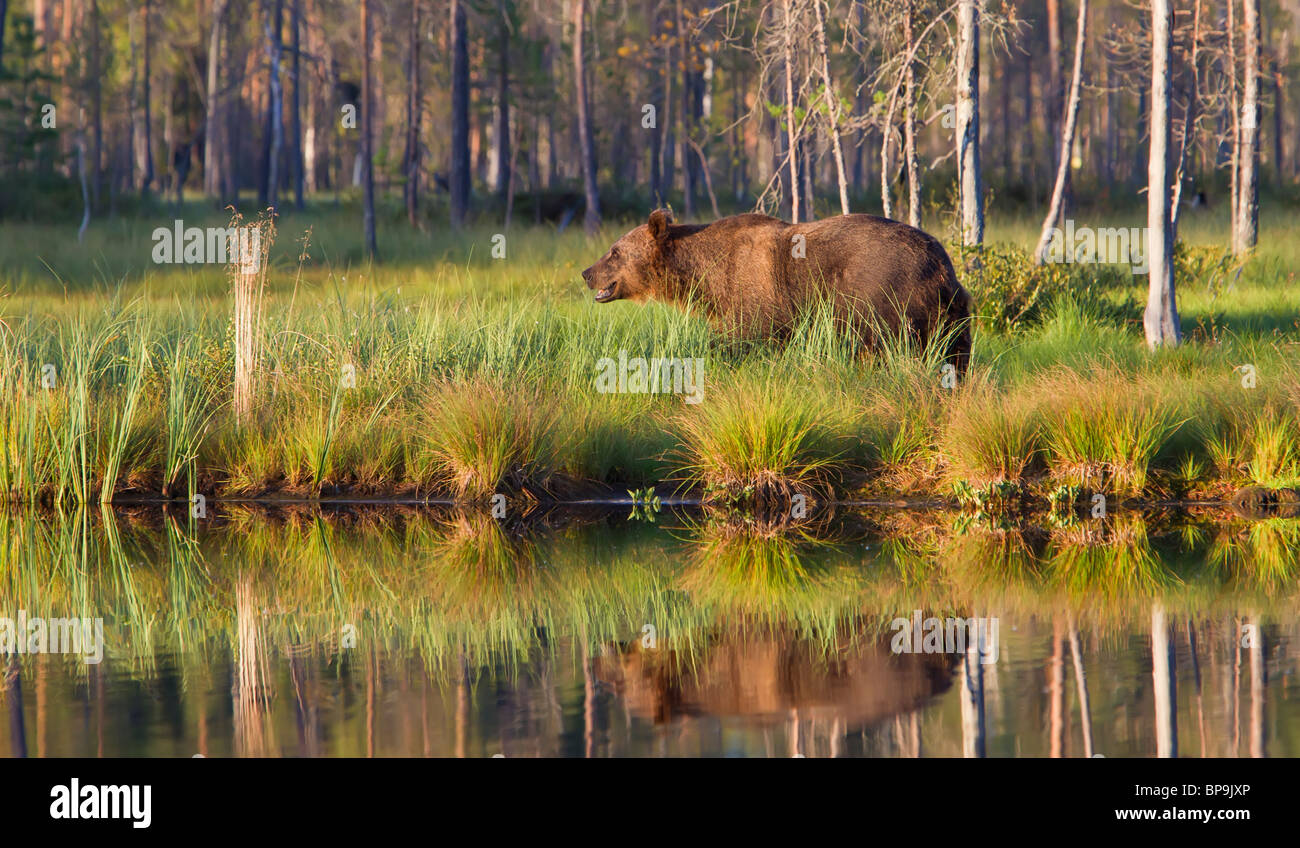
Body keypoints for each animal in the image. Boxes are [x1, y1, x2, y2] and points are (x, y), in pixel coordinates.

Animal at [581, 209, 972, 374]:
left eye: (614, 251)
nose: (586, 272)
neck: (705, 276)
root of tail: (939, 262)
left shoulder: (755, 293)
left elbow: (739, 337)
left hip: (882, 293)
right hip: (952, 309)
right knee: (955, 352)